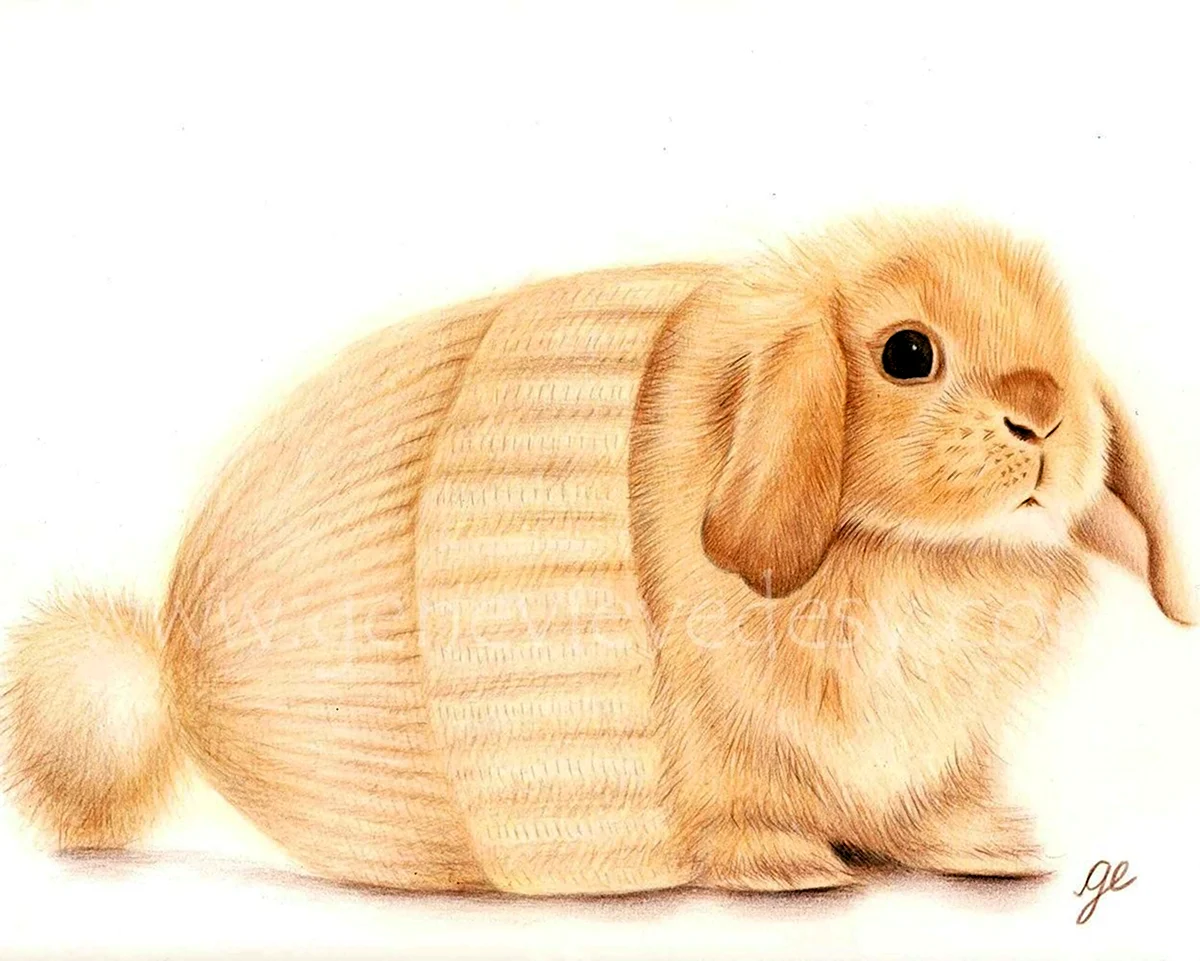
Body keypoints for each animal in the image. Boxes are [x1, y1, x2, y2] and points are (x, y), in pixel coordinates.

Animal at [1, 213, 1191, 896]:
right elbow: (744, 810)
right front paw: (795, 872)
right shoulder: (732, 747)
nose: (1044, 415)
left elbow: (935, 807)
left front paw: (1000, 850)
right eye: (908, 353)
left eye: (1061, 337)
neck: (910, 557)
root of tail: (173, 666)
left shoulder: (941, 752)